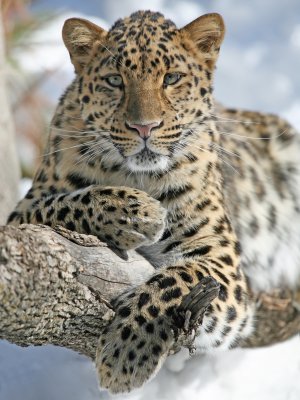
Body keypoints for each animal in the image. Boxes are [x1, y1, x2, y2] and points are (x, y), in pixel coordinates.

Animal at [7, 9, 300, 394]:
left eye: (171, 78)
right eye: (114, 81)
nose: (144, 127)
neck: (137, 176)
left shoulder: (220, 258)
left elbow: (176, 280)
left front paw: (126, 353)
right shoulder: (23, 212)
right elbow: (62, 203)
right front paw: (139, 213)